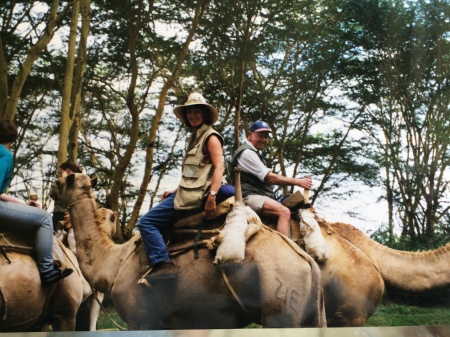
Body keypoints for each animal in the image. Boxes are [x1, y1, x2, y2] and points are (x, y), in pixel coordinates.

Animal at [55, 173, 326, 328]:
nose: (52, 186)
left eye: (61, 182)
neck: (114, 263)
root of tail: (307, 262)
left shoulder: (140, 318)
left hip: (281, 309)